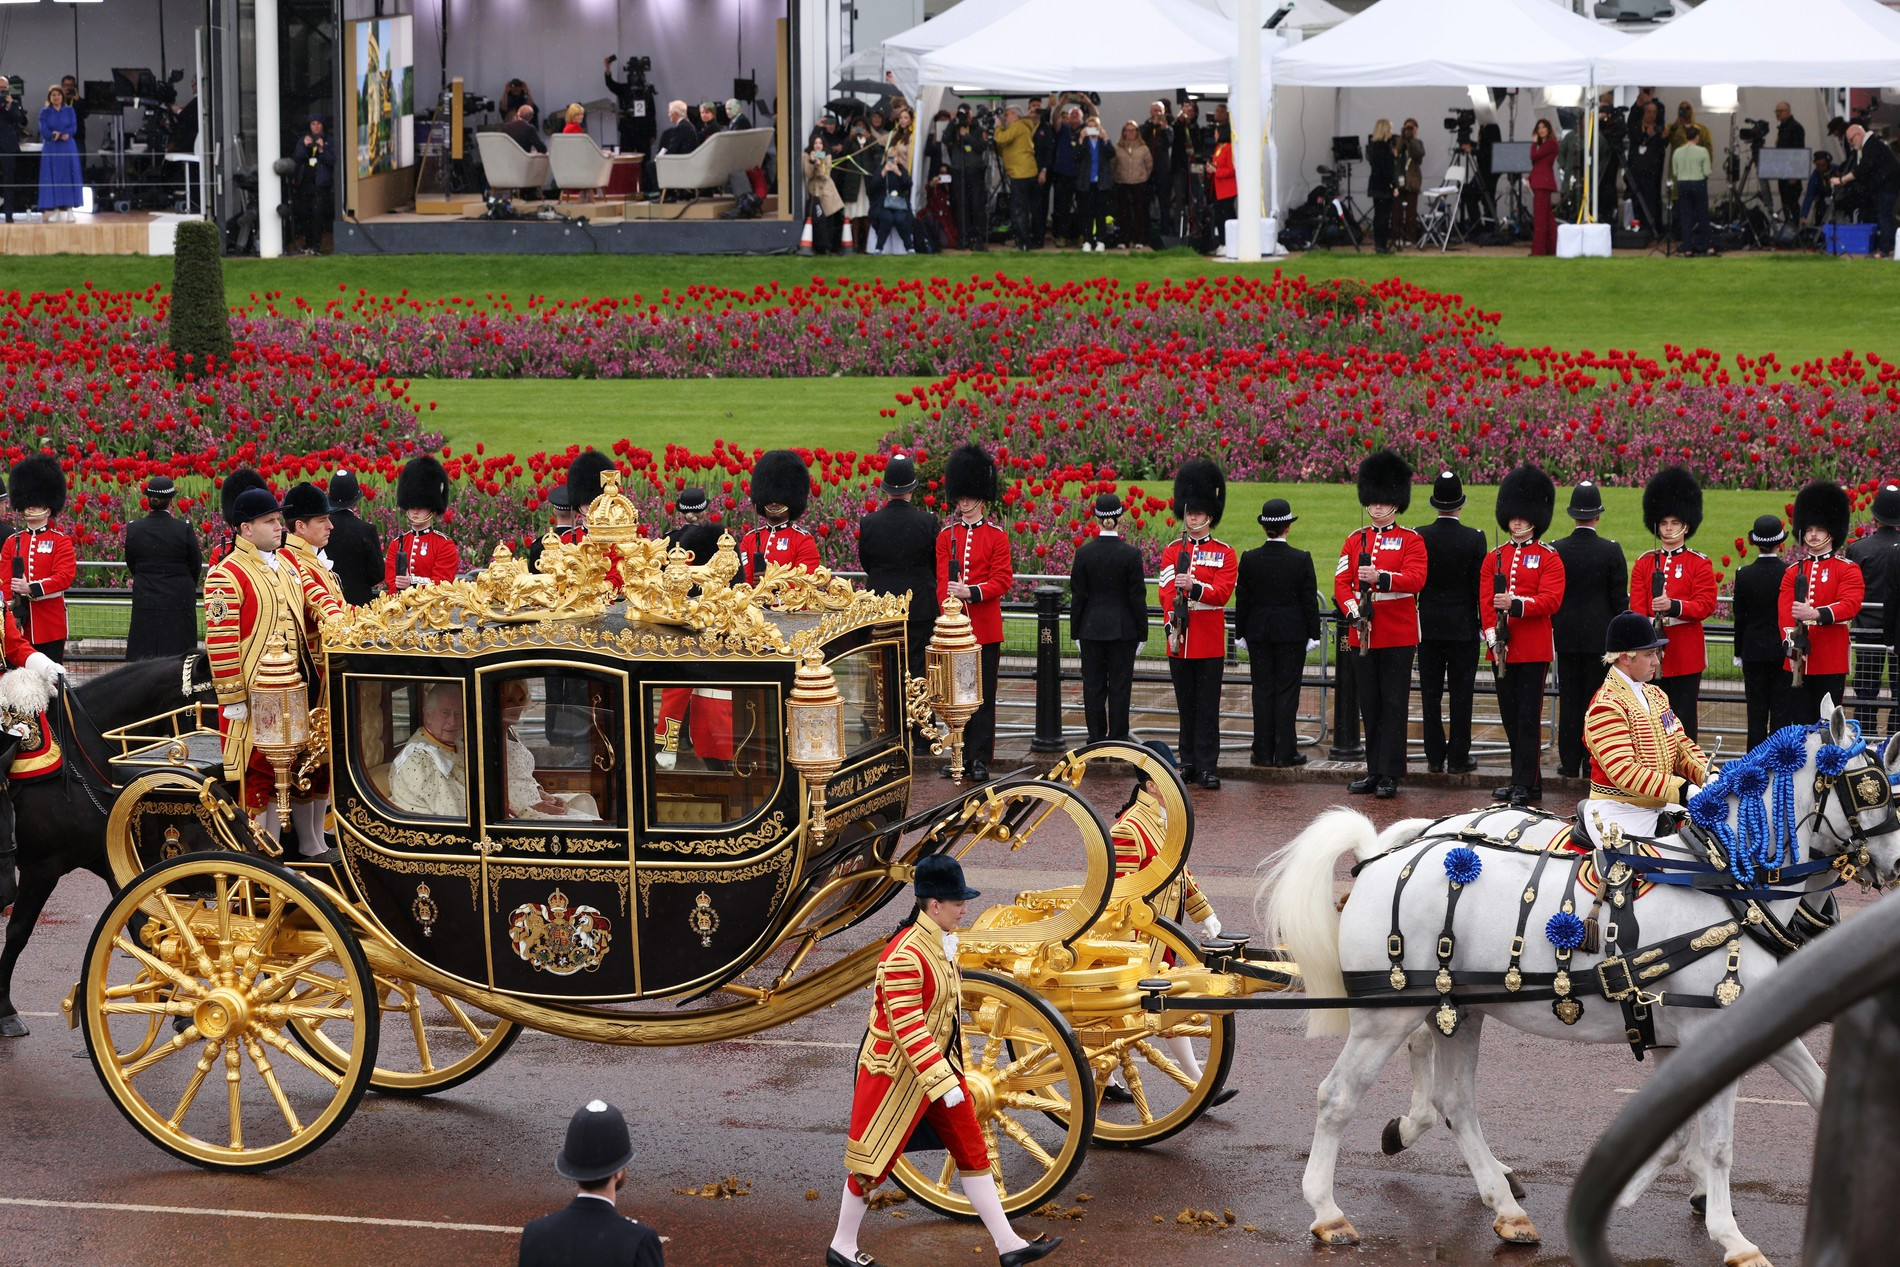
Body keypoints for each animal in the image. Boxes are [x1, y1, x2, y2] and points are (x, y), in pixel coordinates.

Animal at [0, 653, 216, 1040]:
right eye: (212, 705)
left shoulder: (106, 858)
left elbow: (140, 928)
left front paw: (176, 1003)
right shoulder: (41, 867)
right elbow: (19, 931)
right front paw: (6, 1010)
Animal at [1261, 702, 1900, 1267]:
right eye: (1872, 788)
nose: (1895, 868)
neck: (1724, 887)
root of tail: (1381, 857)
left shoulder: (1718, 1029)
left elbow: (1797, 1097)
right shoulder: (1704, 1028)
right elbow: (1715, 1143)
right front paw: (1733, 1238)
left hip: (1456, 1008)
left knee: (1456, 1102)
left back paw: (1503, 1204)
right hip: (1386, 1014)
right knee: (1339, 1096)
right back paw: (1328, 1212)